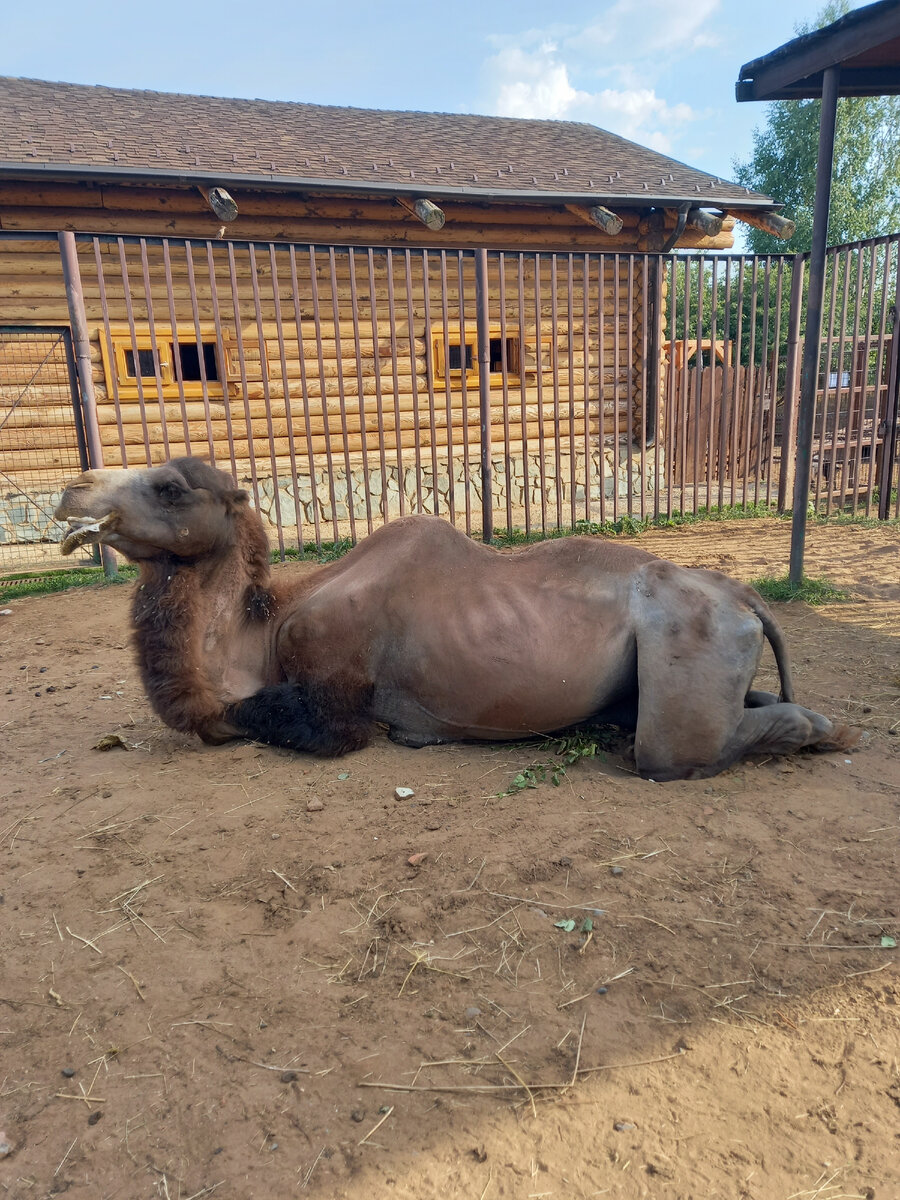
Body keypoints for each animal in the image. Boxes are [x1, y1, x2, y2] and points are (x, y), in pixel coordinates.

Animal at [54, 456, 859, 777]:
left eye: (168, 486)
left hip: (686, 646)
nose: (72, 490)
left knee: (680, 749)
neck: (267, 628)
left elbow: (272, 717)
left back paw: (827, 735)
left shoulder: (336, 697)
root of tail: (745, 596)